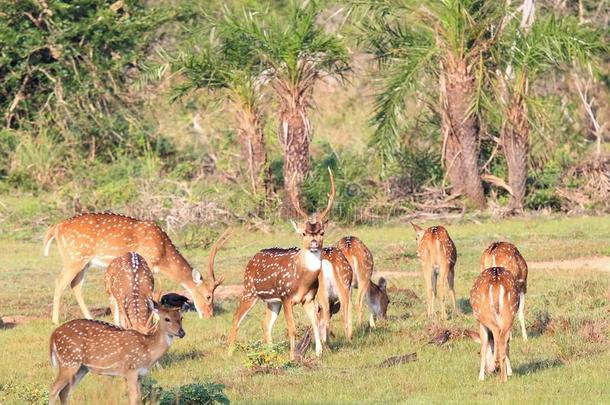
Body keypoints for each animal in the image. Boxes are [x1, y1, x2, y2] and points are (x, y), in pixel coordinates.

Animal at [43, 213, 226, 324]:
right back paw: (55, 321)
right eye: (208, 296)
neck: (162, 255)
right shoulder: (147, 262)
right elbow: (151, 292)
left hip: (84, 262)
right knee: (60, 281)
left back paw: (90, 318)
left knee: (75, 284)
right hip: (74, 258)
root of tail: (56, 228)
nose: (210, 315)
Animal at [49, 300, 183, 404]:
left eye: (181, 318)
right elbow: (133, 398)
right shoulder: (131, 370)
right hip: (69, 361)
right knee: (54, 389)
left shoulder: (140, 375)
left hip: (81, 368)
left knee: (65, 393)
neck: (148, 350)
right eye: (167, 319)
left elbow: (139, 398)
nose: (182, 332)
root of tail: (53, 335)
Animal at [227, 168, 334, 360]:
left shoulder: (308, 298)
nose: (314, 243)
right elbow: (292, 329)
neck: (302, 279)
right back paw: (229, 353)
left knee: (265, 323)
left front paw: (319, 352)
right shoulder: (286, 297)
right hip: (249, 291)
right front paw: (293, 356)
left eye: (321, 232)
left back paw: (270, 352)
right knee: (236, 316)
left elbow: (314, 324)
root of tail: (252, 259)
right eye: (304, 233)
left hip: (272, 301)